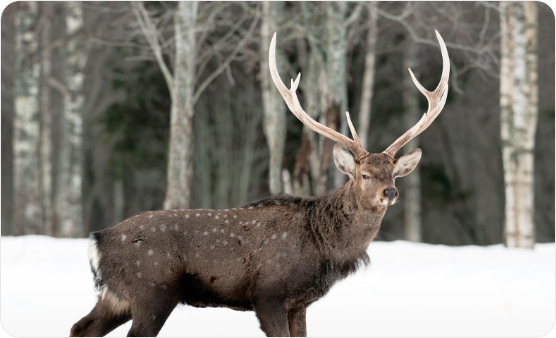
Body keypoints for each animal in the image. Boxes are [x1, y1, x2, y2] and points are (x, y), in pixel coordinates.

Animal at [69, 30, 450, 336]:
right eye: (364, 174)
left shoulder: (299, 303)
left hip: (117, 295)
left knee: (81, 327)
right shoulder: (268, 294)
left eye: (394, 172)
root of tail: (96, 242)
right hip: (151, 290)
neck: (323, 246)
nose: (391, 192)